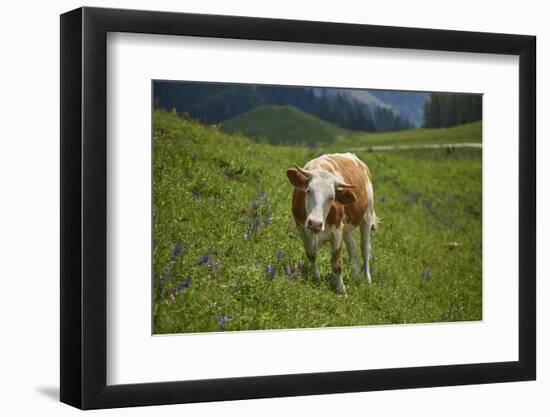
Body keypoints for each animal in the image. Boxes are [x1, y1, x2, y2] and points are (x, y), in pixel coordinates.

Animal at [286, 152, 378, 292]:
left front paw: (341, 289)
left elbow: (337, 263)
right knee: (352, 246)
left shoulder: (337, 231)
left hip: (367, 216)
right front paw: (316, 277)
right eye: (308, 190)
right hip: (347, 227)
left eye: (332, 197)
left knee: (365, 249)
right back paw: (356, 276)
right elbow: (311, 254)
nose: (315, 223)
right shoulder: (301, 227)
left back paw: (367, 279)